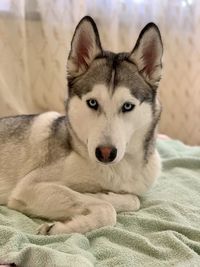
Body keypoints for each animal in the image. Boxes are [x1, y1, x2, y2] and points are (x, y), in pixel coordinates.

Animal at [0, 16, 162, 234]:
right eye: (92, 103)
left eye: (127, 106)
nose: (105, 153)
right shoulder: (29, 187)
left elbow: (133, 200)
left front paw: (100, 194)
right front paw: (59, 228)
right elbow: (106, 209)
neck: (115, 170)